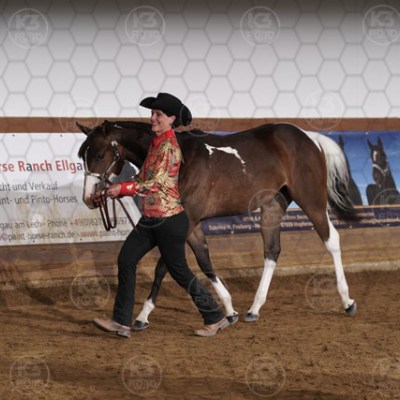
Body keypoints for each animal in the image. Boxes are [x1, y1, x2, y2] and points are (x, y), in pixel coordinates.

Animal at [77, 120, 359, 329]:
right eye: (82, 156)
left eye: (100, 154)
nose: (89, 198)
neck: (183, 161)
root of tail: (311, 138)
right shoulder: (192, 224)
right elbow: (204, 261)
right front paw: (230, 310)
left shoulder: (187, 220)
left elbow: (164, 266)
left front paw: (142, 316)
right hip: (272, 207)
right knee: (272, 251)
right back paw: (253, 309)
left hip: (311, 200)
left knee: (331, 240)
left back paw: (347, 301)